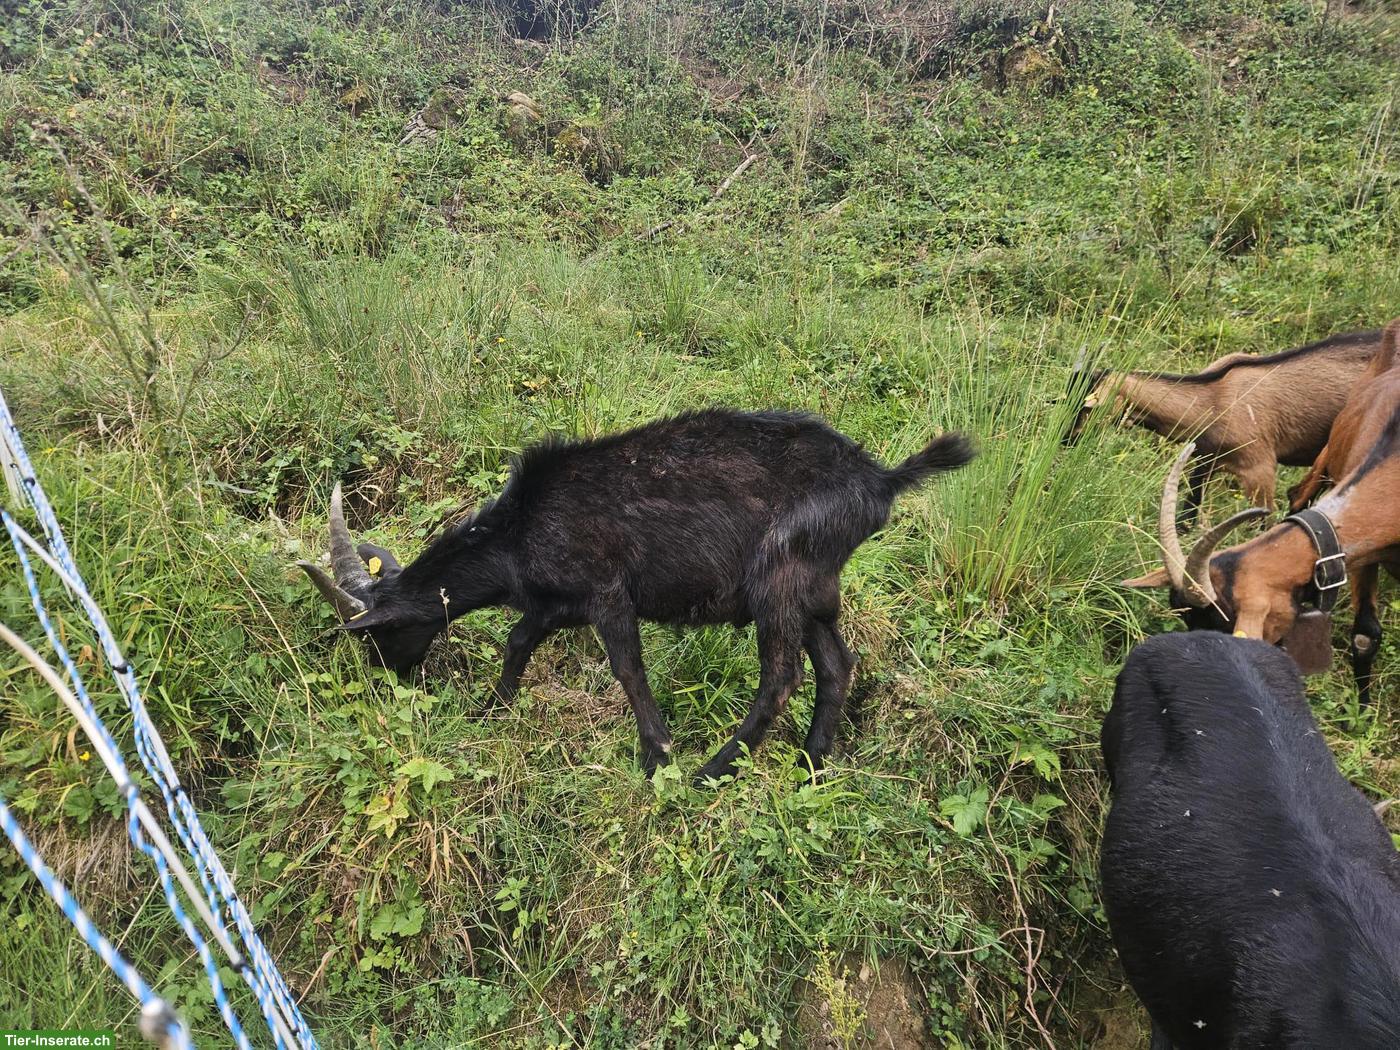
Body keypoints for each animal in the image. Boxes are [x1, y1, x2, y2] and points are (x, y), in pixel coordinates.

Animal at [298, 408, 975, 785]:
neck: (520, 531)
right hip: (815, 590)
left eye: (378, 634)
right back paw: (812, 766)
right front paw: (490, 707)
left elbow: (627, 667)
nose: (390, 679)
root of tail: (881, 481)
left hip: (779, 580)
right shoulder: (557, 602)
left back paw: (713, 771)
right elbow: (519, 639)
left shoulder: (607, 593)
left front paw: (658, 755)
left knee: (783, 677)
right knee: (836, 663)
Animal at [1065, 328, 1382, 524]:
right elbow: (1187, 515)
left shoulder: (1259, 470)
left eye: (1085, 407)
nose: (1066, 439)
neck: (1214, 400)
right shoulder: (1204, 459)